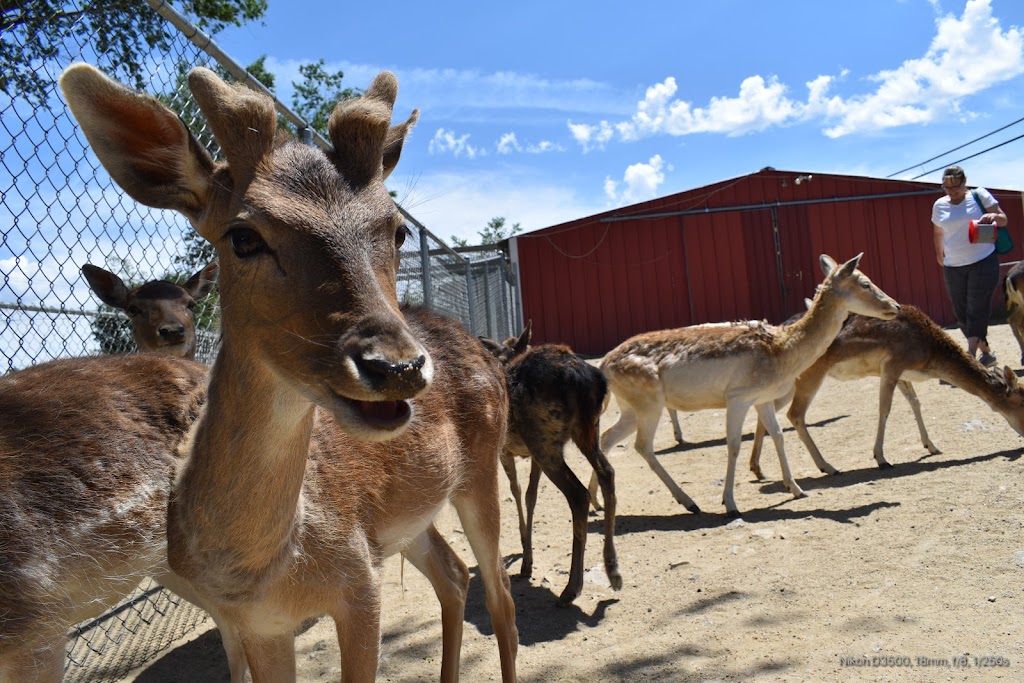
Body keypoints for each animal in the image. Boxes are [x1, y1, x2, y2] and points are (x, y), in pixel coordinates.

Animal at [481, 323, 618, 606]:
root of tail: (584, 379)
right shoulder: (530, 455)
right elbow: (531, 495)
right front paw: (526, 557)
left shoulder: (504, 450)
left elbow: (516, 491)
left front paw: (525, 555)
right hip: (585, 430)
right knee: (607, 473)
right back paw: (612, 570)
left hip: (544, 438)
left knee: (578, 494)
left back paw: (572, 588)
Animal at [598, 255, 901, 518]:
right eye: (865, 283)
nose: (896, 306)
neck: (782, 350)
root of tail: (603, 364)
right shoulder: (738, 397)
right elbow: (733, 445)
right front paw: (731, 504)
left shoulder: (762, 398)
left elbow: (777, 434)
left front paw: (797, 489)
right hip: (649, 404)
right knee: (642, 446)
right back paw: (689, 502)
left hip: (631, 408)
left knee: (607, 438)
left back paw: (598, 506)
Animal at [745, 305, 1024, 475]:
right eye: (1023, 401)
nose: (1023, 435)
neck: (929, 354)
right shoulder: (892, 364)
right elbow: (885, 408)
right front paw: (881, 458)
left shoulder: (901, 373)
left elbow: (915, 402)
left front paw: (932, 446)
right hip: (811, 374)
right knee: (795, 415)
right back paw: (827, 466)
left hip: (786, 383)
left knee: (766, 410)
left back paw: (758, 469)